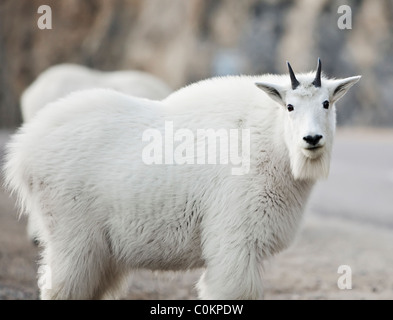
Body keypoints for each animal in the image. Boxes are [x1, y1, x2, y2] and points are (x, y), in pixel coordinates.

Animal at [3, 59, 360, 300]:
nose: (311, 139)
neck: (273, 144)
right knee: (60, 288)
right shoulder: (234, 240)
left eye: (326, 103)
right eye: (289, 106)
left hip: (101, 253)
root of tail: (22, 151)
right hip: (72, 236)